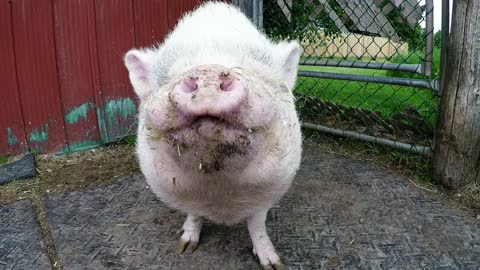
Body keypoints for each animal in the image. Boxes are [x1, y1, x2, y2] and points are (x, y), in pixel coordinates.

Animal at [125, 1, 302, 268]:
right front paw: (185, 248)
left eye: (256, 70)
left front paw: (273, 264)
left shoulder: (269, 189)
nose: (208, 71)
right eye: (169, 74)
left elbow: (257, 225)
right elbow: (194, 214)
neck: (220, 195)